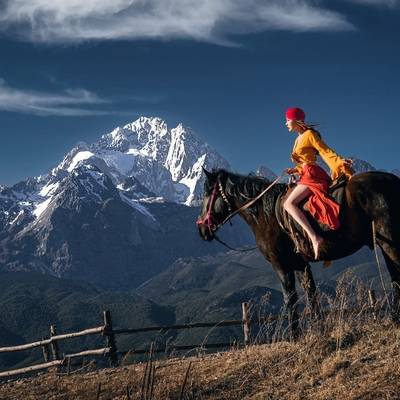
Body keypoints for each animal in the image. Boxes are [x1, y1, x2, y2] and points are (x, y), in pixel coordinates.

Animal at [198, 167, 400, 336]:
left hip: (389, 242)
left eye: (207, 195)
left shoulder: (281, 265)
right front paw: (319, 330)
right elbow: (311, 295)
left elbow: (290, 298)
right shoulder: (300, 265)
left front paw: (295, 336)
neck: (265, 214)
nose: (201, 230)